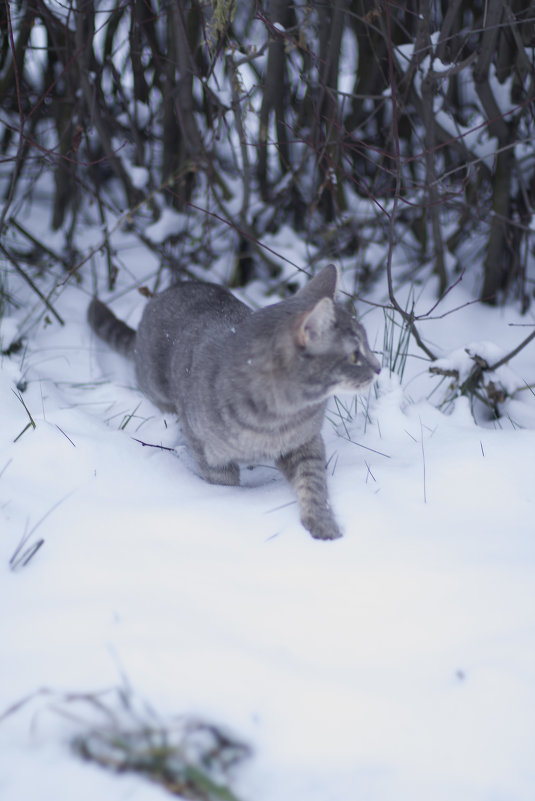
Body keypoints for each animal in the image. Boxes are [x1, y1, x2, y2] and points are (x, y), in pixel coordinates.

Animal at [88, 266, 382, 540]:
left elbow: (312, 482)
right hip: (155, 384)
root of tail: (167, 291)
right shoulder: (205, 447)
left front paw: (322, 522)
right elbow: (224, 483)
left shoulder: (306, 443)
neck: (279, 416)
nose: (380, 367)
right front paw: (232, 508)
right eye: (354, 355)